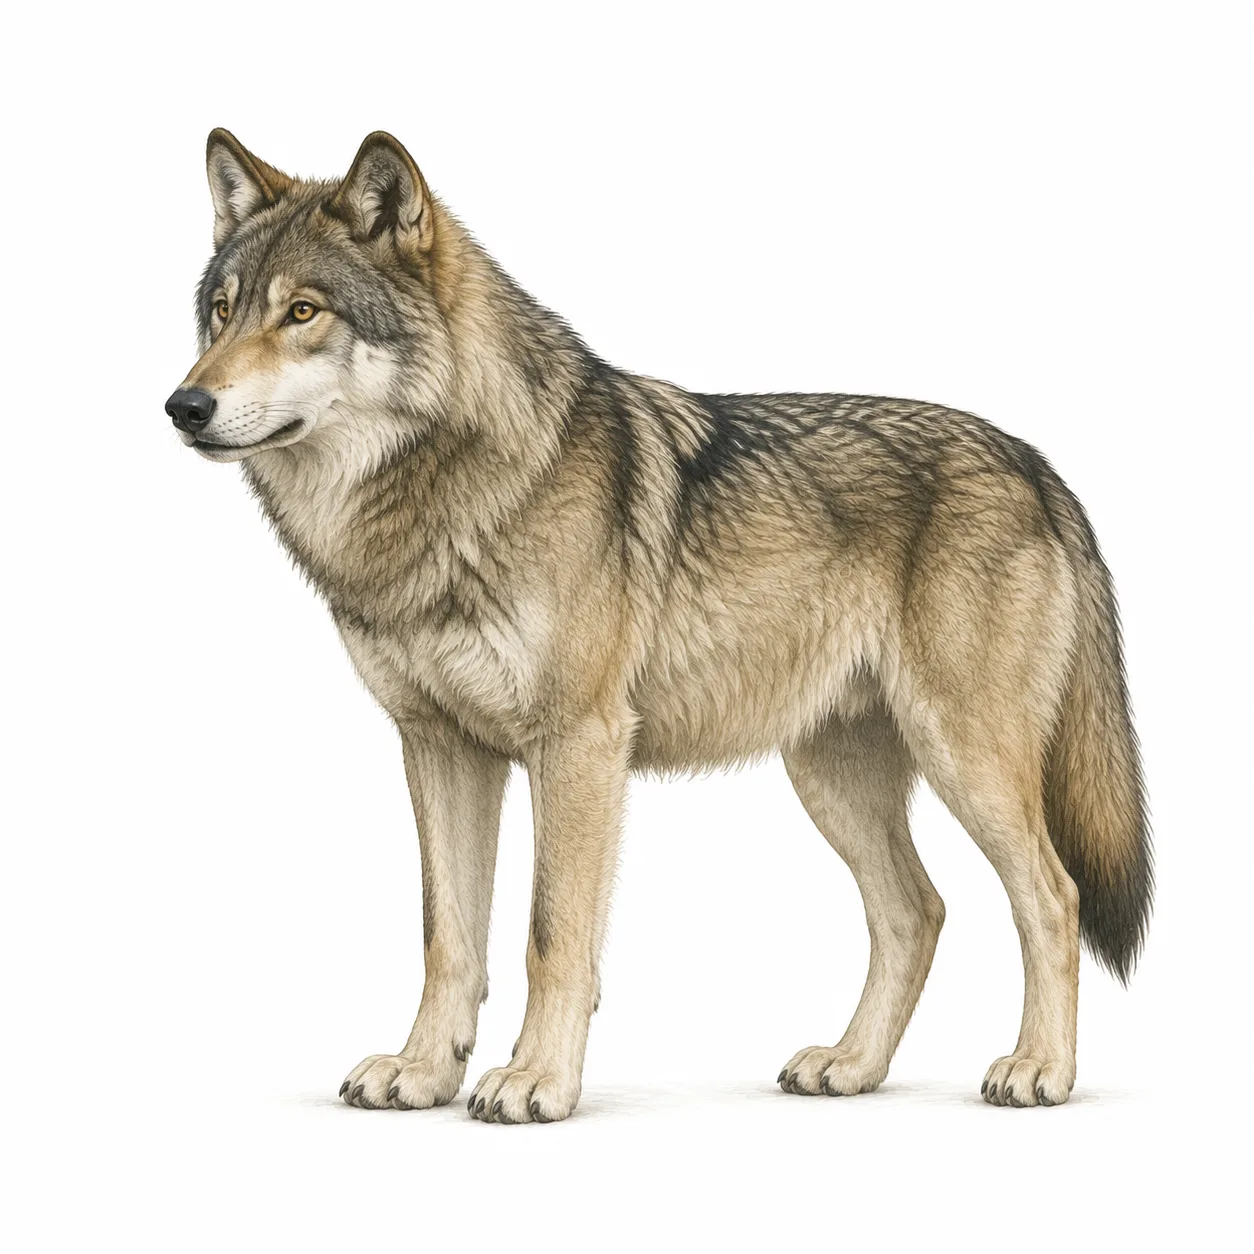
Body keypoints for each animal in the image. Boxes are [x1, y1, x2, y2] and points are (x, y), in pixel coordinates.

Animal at [166, 129, 1151, 1122]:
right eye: (220, 313)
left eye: (302, 312)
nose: (184, 406)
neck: (442, 497)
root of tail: (1034, 463)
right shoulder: (439, 745)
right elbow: (448, 938)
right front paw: (423, 1071)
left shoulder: (578, 745)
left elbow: (551, 934)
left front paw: (536, 1081)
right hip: (830, 778)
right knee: (917, 911)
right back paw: (850, 1064)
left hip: (965, 761)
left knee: (1052, 897)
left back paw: (1039, 1069)